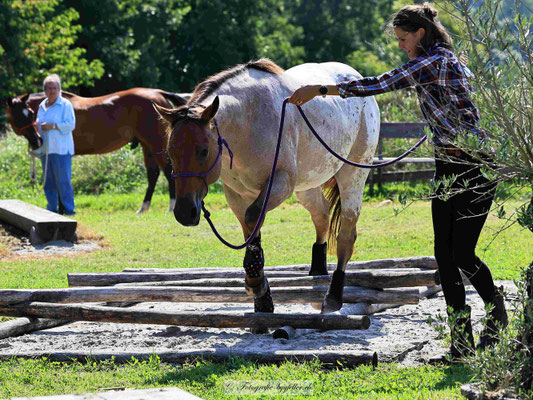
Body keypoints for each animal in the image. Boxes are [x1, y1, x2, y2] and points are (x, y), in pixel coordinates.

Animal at [6, 88, 187, 213]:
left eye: (30, 113)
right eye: (20, 115)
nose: (37, 141)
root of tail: (158, 93)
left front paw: (63, 210)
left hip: (155, 144)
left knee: (168, 171)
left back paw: (171, 206)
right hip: (146, 145)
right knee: (153, 174)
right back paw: (143, 207)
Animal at [154, 59, 380, 314]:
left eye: (203, 151)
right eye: (170, 153)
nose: (185, 212)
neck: (248, 122)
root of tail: (355, 78)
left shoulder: (280, 183)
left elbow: (253, 218)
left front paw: (256, 284)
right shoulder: (237, 194)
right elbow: (250, 230)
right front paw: (261, 293)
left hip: (353, 175)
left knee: (346, 236)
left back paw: (333, 296)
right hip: (307, 186)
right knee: (321, 215)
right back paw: (317, 271)